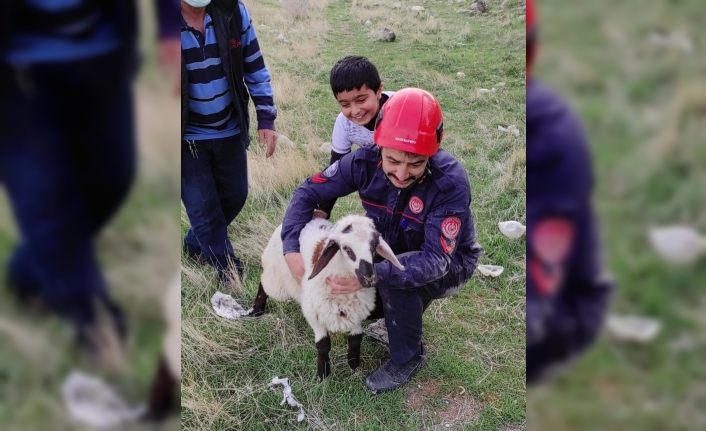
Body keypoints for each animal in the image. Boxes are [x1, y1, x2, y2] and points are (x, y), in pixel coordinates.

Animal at [250, 214, 402, 380]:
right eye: (346, 249)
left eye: (374, 246)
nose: (369, 278)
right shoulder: (313, 313)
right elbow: (323, 344)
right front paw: (322, 372)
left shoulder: (357, 312)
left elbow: (356, 339)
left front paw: (353, 363)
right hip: (277, 277)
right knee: (263, 284)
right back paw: (257, 310)